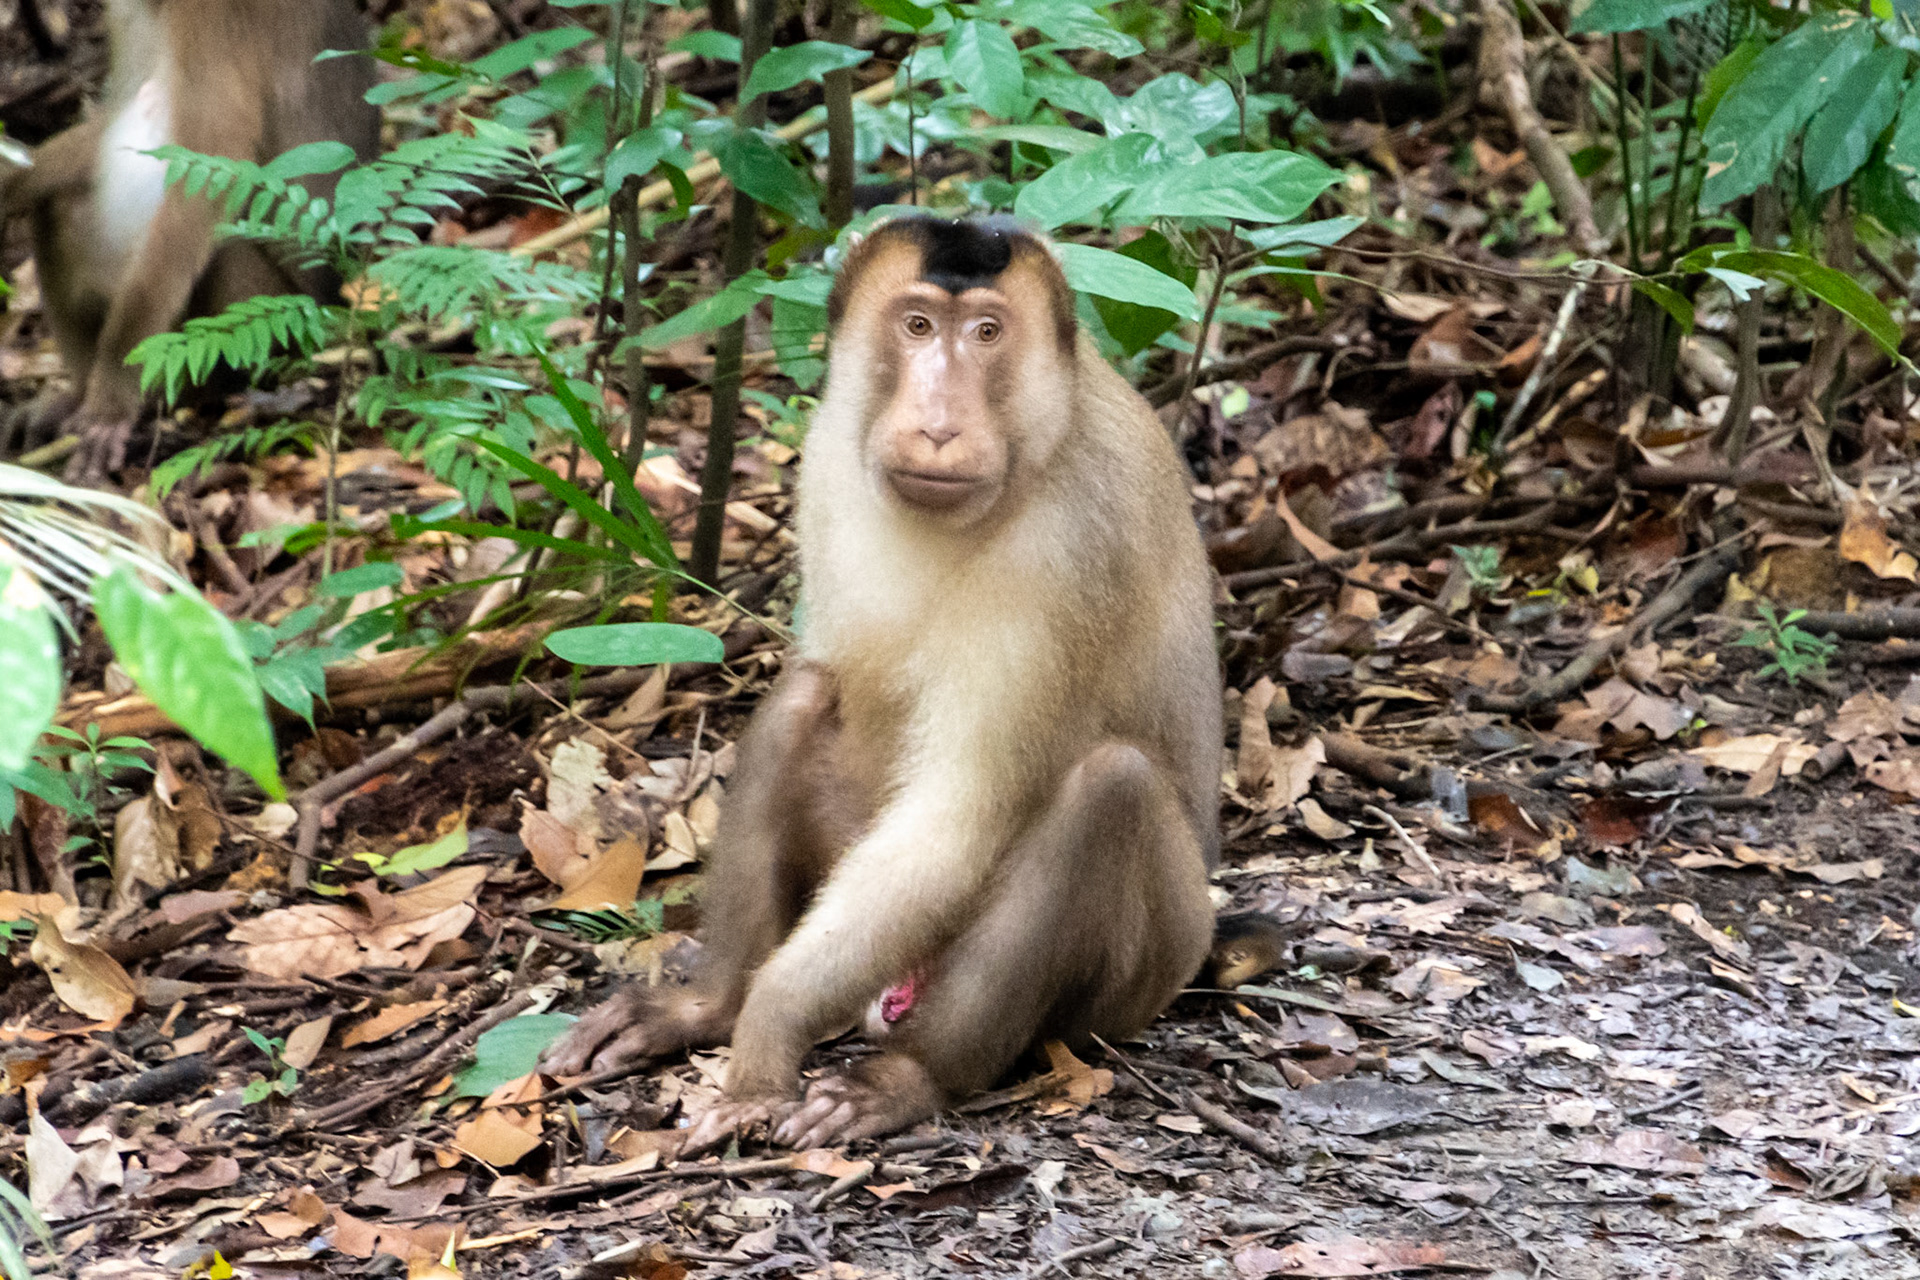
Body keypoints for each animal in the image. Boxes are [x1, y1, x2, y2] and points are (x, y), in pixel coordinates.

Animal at [1, 0, 379, 482]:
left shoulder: (216, 26)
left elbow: (206, 179)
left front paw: (113, 403)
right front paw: (13, 181)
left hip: (282, 320)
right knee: (62, 208)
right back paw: (78, 393)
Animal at [542, 215, 1229, 1150]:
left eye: (987, 332)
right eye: (917, 326)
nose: (938, 424)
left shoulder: (1070, 540)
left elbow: (960, 813)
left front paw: (770, 1027)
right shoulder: (828, 453)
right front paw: (734, 1013)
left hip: (1139, 981)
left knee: (1109, 789)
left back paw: (912, 1076)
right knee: (804, 697)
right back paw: (709, 1005)